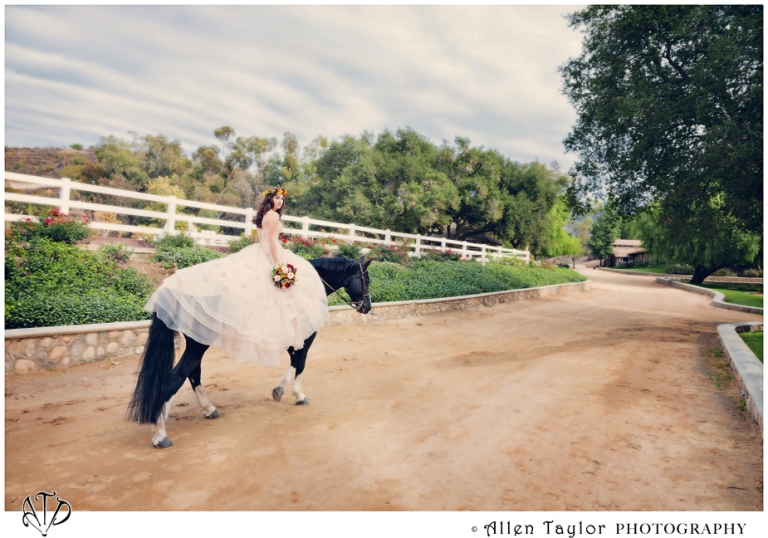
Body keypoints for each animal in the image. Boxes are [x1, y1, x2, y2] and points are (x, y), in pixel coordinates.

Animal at [127, 254, 372, 444]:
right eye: (366, 280)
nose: (367, 307)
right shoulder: (306, 337)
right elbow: (300, 363)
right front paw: (294, 394)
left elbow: (294, 360)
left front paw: (283, 391)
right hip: (198, 344)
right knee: (176, 378)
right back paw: (160, 434)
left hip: (198, 341)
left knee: (193, 373)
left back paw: (208, 409)